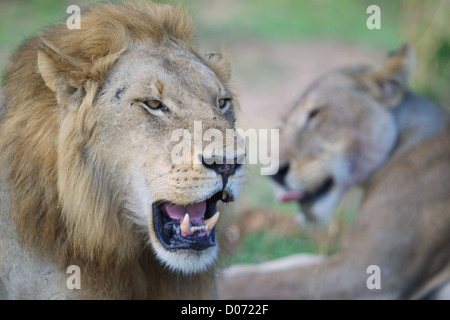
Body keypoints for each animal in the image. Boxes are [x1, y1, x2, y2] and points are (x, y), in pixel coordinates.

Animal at [218, 43, 450, 298]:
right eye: (282, 124)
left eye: (315, 113)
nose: (274, 174)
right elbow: (295, 261)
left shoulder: (369, 271)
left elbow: (268, 281)